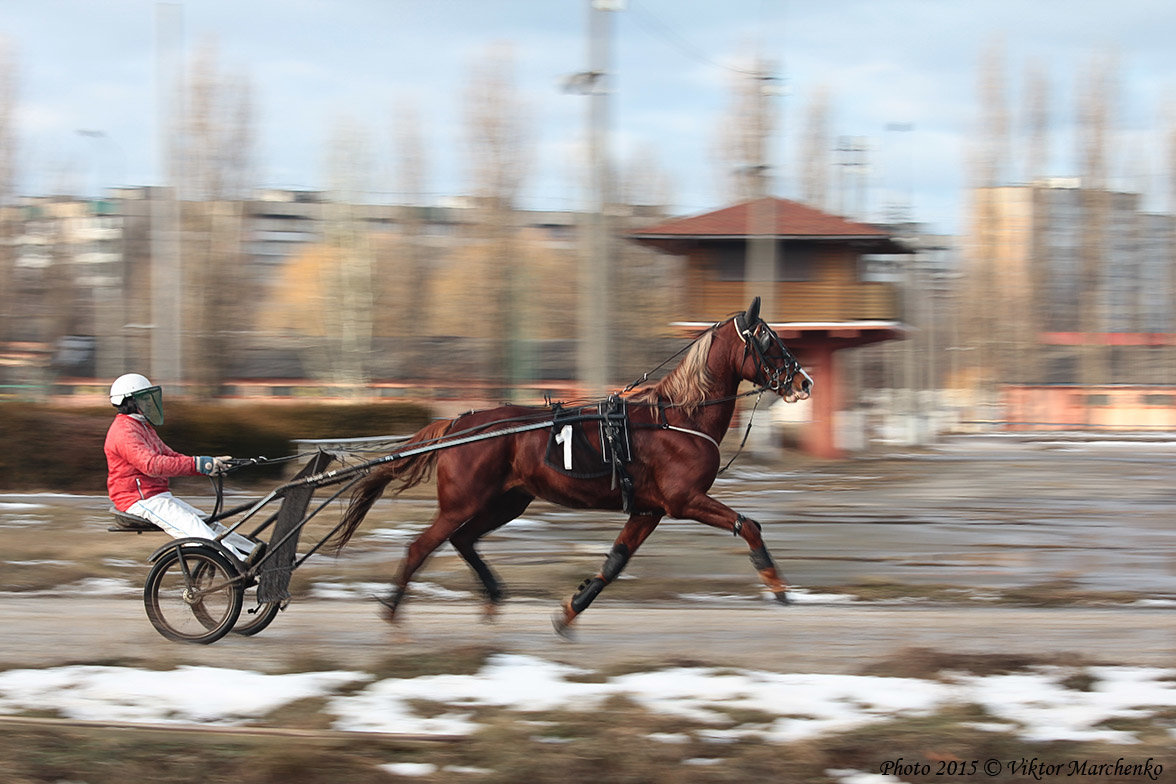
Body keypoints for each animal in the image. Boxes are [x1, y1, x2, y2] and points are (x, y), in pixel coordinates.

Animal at [326, 297, 813, 634]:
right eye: (769, 339)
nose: (804, 381)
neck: (677, 417)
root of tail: (458, 423)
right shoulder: (683, 500)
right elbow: (749, 525)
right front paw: (778, 586)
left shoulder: (648, 509)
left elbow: (615, 563)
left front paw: (569, 611)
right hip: (464, 502)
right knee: (420, 546)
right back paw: (392, 611)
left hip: (507, 501)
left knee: (463, 540)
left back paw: (492, 596)